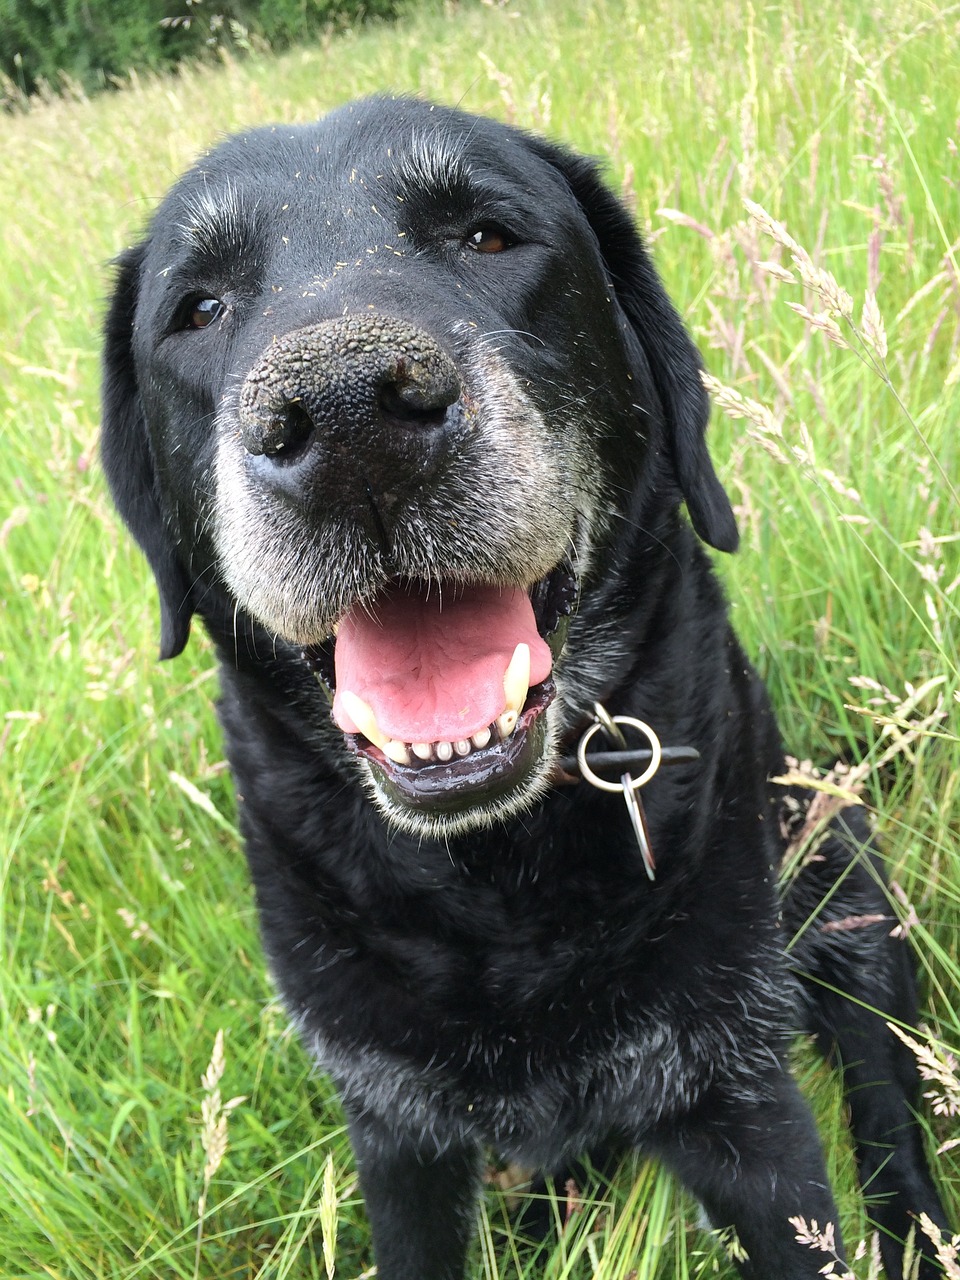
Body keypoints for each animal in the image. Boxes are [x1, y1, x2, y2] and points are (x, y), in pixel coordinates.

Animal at [103, 94, 947, 1274]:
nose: (346, 409)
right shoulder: (397, 1133)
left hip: (845, 883)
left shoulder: (743, 1103)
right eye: (200, 308)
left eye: (489, 236)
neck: (491, 881)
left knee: (886, 1105)